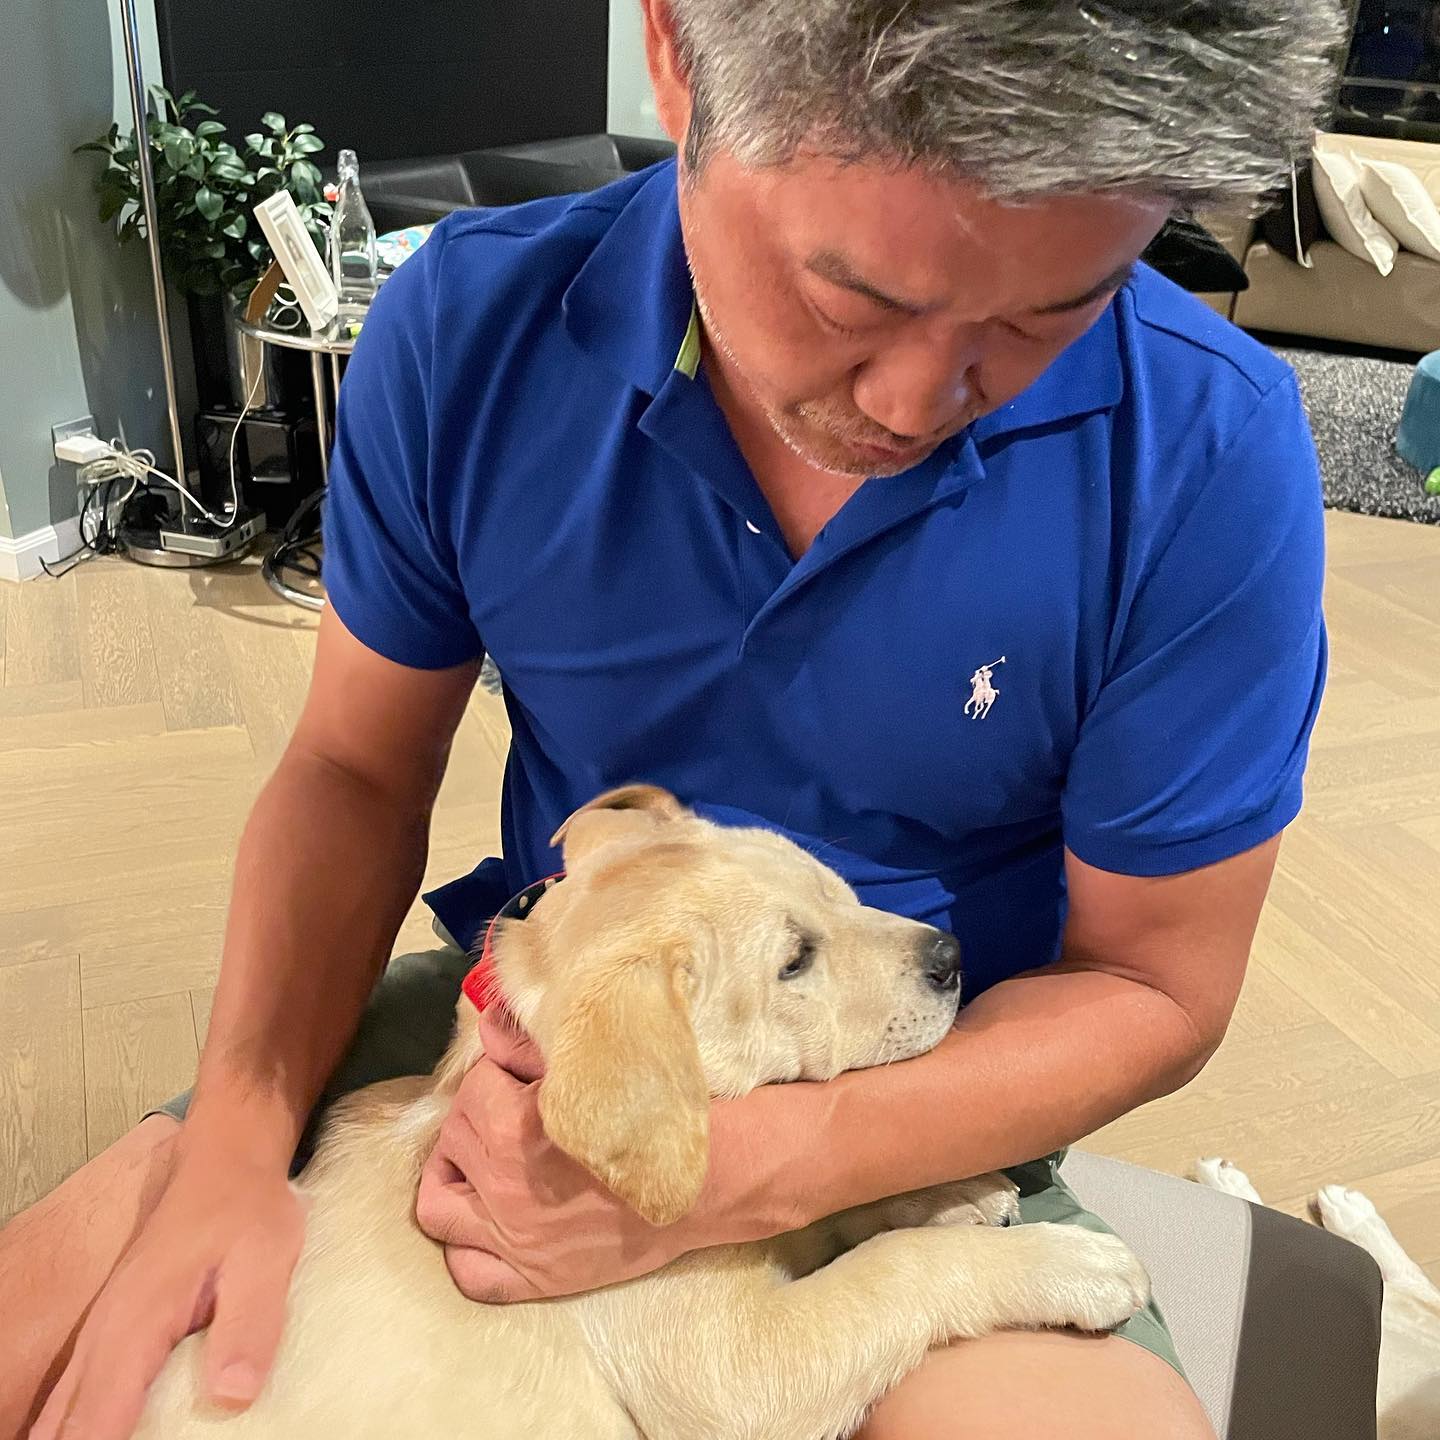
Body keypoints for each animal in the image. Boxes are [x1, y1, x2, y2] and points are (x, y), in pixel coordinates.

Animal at [136, 785, 1150, 1439]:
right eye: (794, 963)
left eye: (842, 891)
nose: (952, 957)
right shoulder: (740, 1371)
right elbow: (895, 1271)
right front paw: (1069, 1262)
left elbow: (813, 1185)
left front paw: (953, 1191)